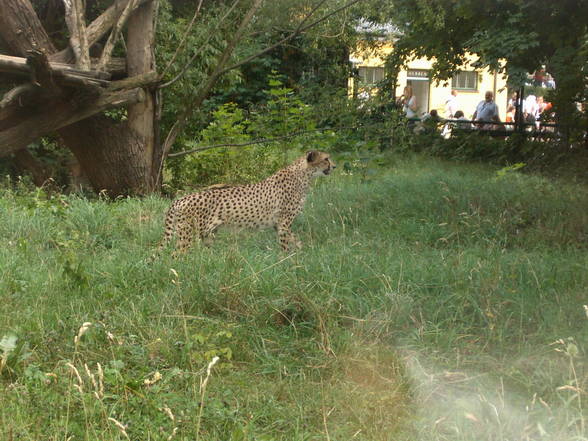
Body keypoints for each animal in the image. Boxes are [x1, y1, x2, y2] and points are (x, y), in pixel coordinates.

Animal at [158, 150, 336, 251]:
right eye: (326, 159)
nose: (334, 166)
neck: (304, 175)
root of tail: (182, 198)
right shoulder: (284, 223)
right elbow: (285, 245)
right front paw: (288, 262)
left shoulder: (278, 224)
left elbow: (295, 240)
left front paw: (301, 252)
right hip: (189, 234)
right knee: (177, 255)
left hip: (207, 234)